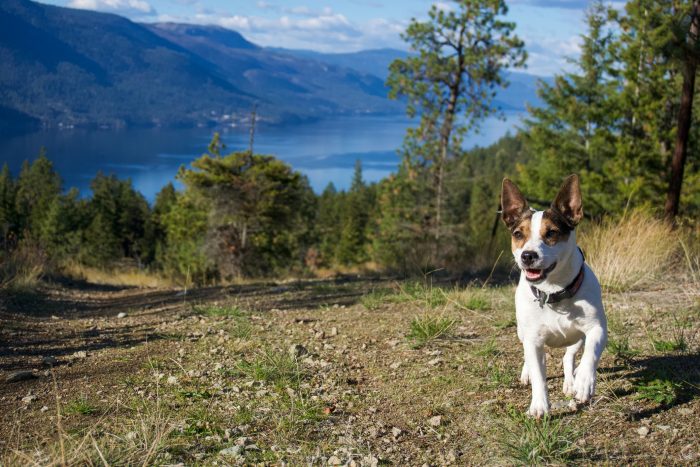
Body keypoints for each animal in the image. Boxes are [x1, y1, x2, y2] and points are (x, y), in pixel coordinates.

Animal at [498, 174, 608, 418]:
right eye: (518, 234)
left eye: (551, 233)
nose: (528, 255)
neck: (553, 292)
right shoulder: (533, 341)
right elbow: (539, 376)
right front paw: (539, 405)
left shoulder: (597, 328)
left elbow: (591, 354)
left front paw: (584, 381)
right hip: (522, 332)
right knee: (528, 356)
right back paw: (527, 373)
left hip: (576, 338)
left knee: (569, 356)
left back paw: (571, 381)